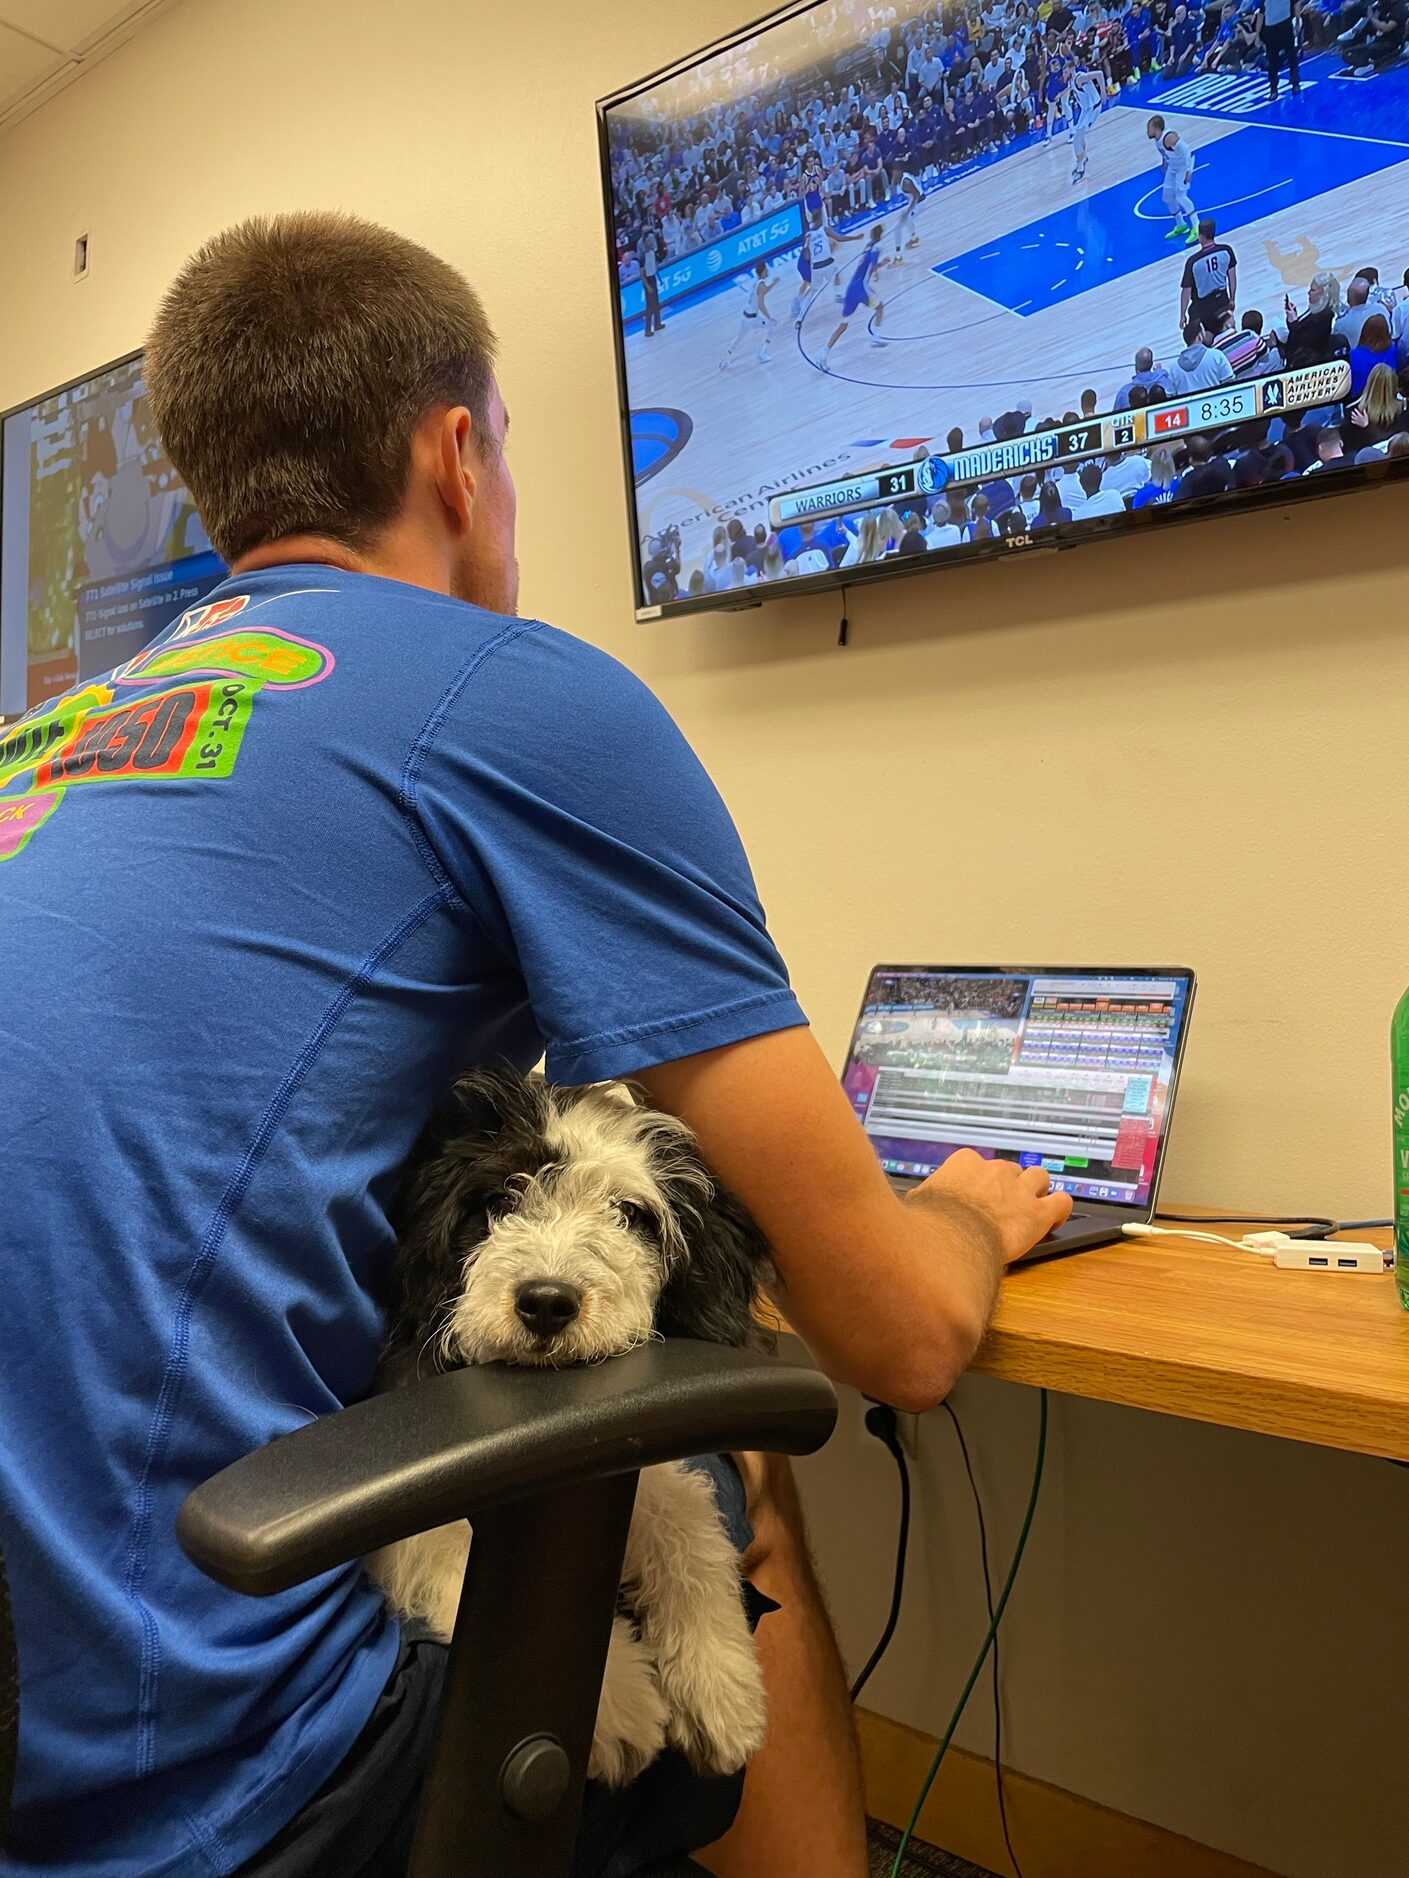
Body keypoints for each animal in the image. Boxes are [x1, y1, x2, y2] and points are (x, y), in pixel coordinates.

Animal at [370, 1066, 777, 1780]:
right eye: (500, 1197)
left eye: (630, 1214)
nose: (546, 1302)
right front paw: (612, 1699)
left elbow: (687, 1520)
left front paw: (720, 1683)